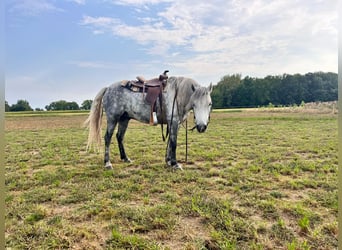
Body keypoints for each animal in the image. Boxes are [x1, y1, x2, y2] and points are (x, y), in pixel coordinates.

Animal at [84, 75, 212, 170]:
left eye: (209, 104)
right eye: (194, 104)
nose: (201, 127)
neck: (177, 94)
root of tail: (108, 88)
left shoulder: (175, 124)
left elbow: (170, 142)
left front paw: (169, 161)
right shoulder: (174, 122)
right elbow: (174, 143)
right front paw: (175, 164)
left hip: (124, 119)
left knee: (119, 137)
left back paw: (125, 158)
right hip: (112, 118)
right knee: (108, 138)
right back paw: (107, 163)